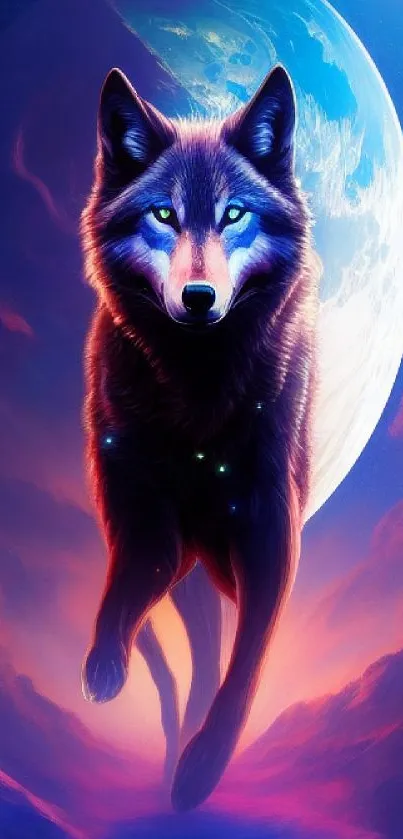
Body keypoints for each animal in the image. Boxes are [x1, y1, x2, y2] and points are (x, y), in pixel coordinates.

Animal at [80, 63, 321, 811]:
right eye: (163, 215)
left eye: (234, 214)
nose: (197, 298)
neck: (197, 401)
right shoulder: (143, 512)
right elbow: (125, 589)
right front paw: (104, 667)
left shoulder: (271, 532)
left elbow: (245, 669)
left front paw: (202, 769)